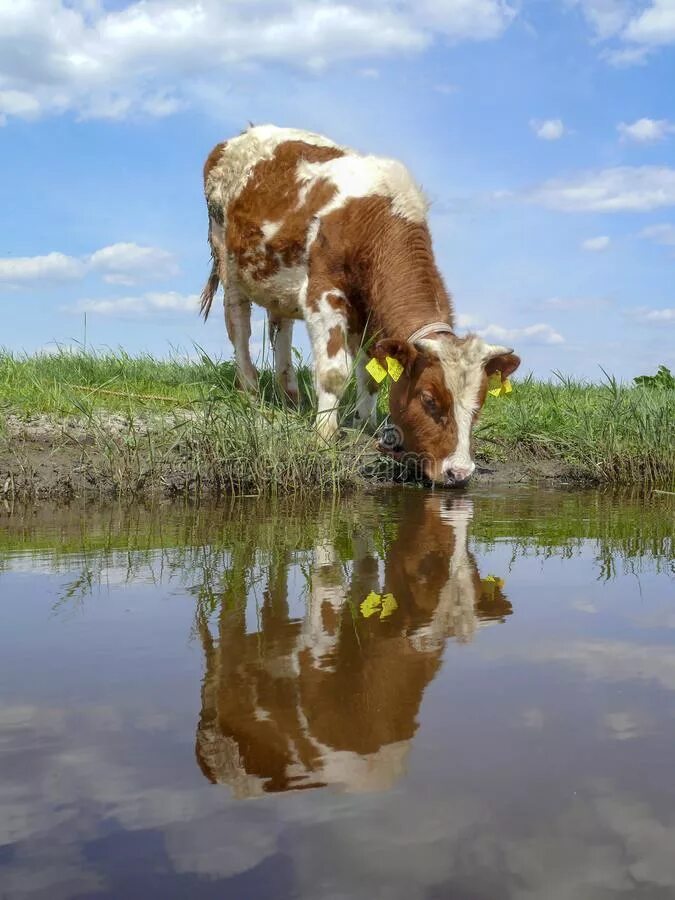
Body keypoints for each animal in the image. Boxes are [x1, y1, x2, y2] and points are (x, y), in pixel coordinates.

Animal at [201, 125, 524, 486]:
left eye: (480, 402)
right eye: (428, 399)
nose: (460, 471)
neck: (373, 220)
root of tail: (244, 133)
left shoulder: (368, 310)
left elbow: (372, 374)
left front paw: (365, 423)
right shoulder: (323, 291)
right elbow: (334, 372)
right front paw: (324, 434)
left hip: (278, 283)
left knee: (280, 329)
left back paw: (290, 396)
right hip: (228, 261)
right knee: (238, 327)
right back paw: (250, 392)